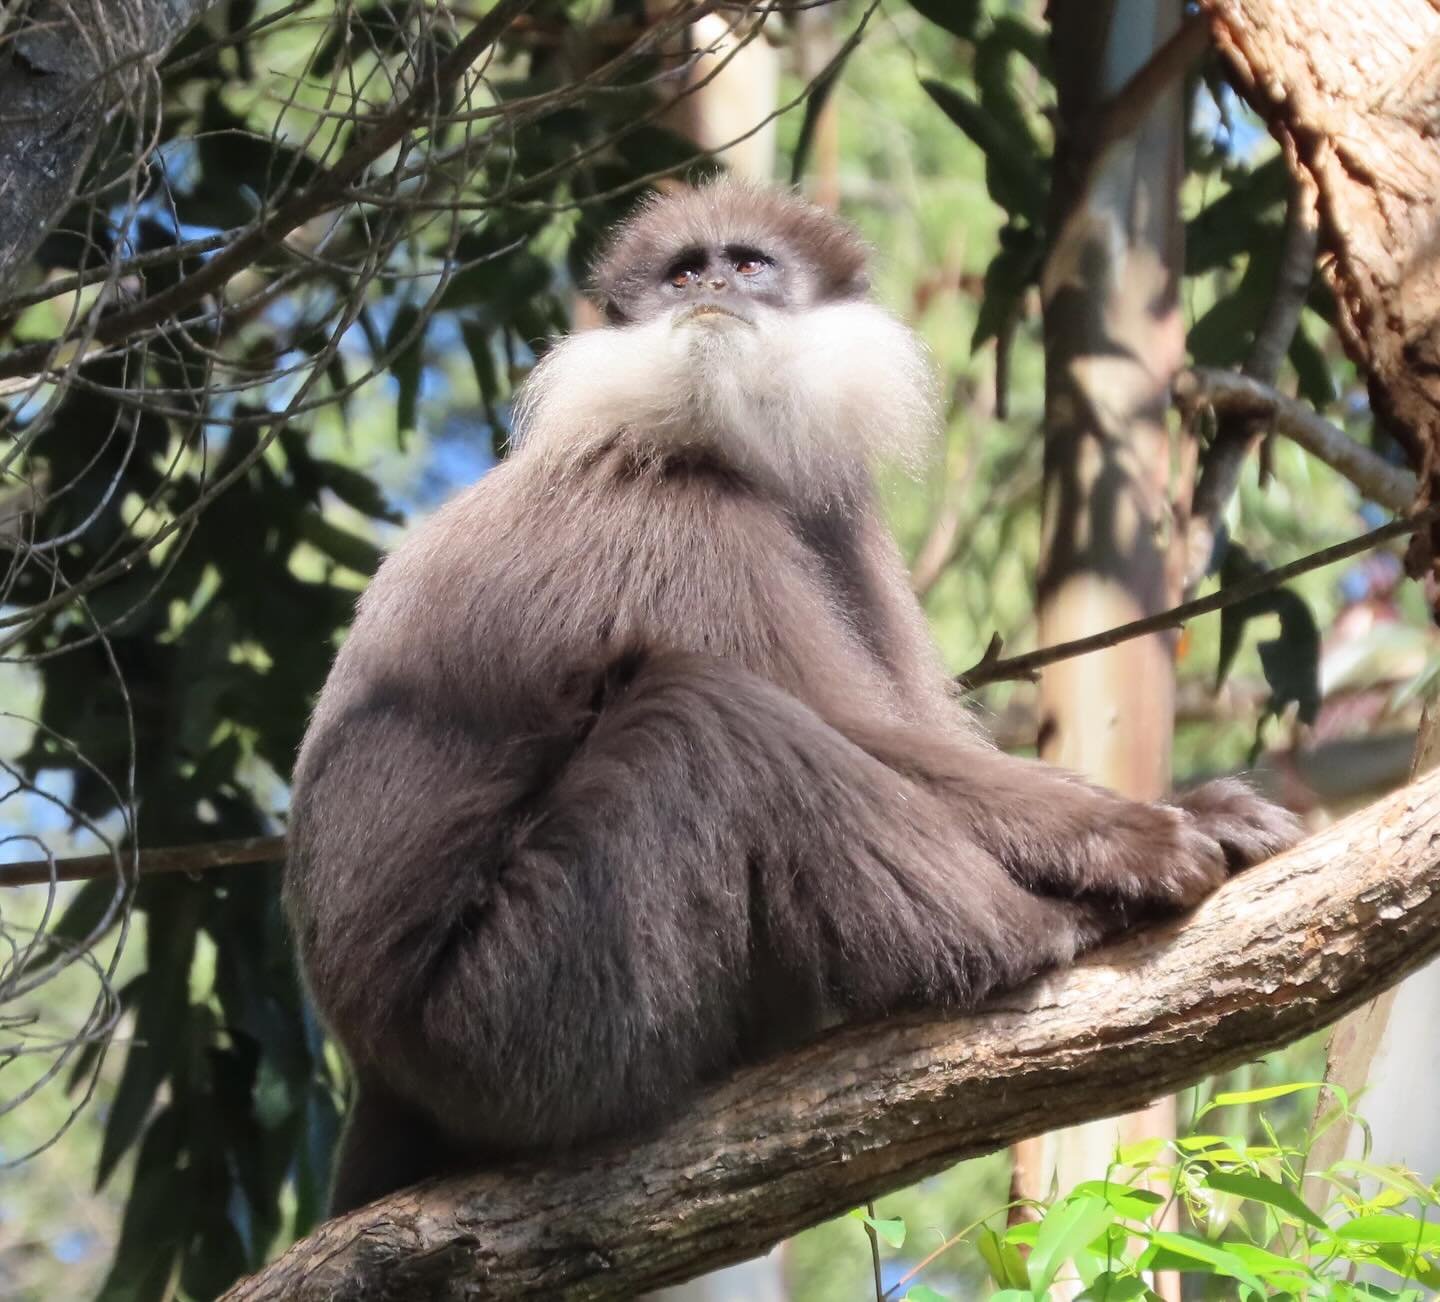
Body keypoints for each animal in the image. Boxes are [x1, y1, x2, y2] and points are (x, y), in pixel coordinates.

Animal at [284, 180, 1301, 1216]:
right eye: (682, 275)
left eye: (748, 264)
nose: (712, 292)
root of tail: (383, 1067)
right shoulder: (681, 511)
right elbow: (863, 733)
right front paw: (1153, 836)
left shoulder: (837, 520)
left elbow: (908, 724)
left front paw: (1193, 810)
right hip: (518, 1015)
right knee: (709, 719)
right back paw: (1035, 937)